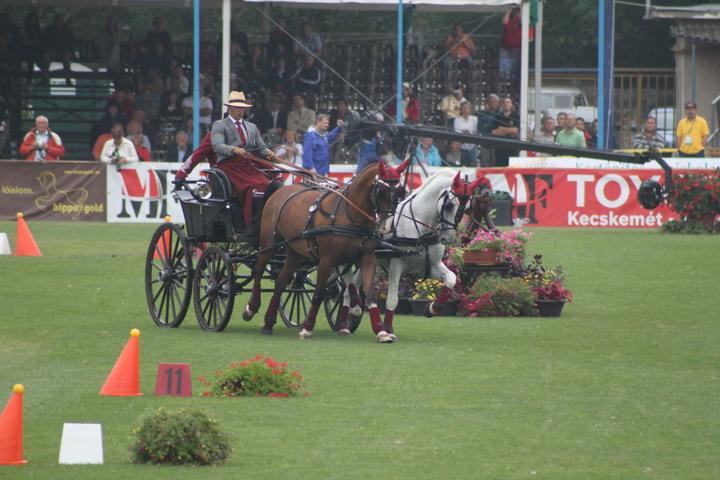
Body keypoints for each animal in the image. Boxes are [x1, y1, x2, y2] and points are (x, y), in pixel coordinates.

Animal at [243, 160, 409, 340]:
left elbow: (370, 293)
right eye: (382, 190)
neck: (351, 215)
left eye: (401, 191)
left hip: (294, 251)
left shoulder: (367, 259)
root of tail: (282, 190)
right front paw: (307, 328)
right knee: (259, 271)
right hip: (269, 243)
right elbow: (319, 293)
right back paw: (251, 307)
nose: (387, 227)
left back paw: (268, 322)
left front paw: (381, 330)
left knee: (281, 282)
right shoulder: (326, 260)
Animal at [338, 171, 487, 343]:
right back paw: (346, 320)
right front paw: (387, 329)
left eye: (468, 207)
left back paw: (345, 321)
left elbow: (451, 279)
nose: (448, 238)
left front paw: (432, 308)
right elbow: (392, 299)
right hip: (346, 261)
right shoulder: (395, 267)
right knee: (347, 287)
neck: (420, 229)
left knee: (350, 289)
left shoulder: (431, 266)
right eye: (449, 205)